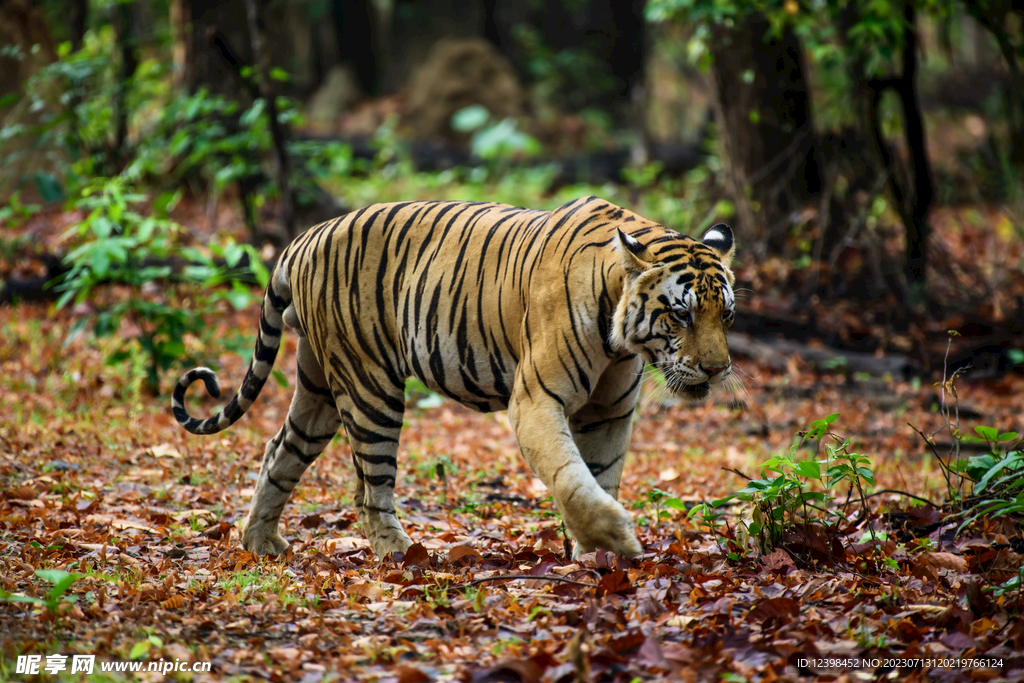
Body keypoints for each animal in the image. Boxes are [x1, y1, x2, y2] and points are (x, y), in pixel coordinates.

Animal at [171, 196, 736, 559]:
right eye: (682, 315)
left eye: (725, 315)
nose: (717, 369)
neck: (621, 336)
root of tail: (307, 237)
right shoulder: (535, 400)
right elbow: (570, 476)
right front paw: (617, 539)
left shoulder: (609, 411)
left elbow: (600, 474)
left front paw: (598, 555)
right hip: (369, 386)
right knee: (369, 488)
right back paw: (402, 554)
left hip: (319, 387)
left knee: (279, 450)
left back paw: (260, 542)